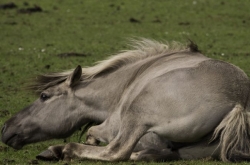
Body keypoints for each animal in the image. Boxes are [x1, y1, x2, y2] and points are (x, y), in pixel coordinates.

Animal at [1, 39, 250, 162]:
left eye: (44, 96)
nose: (5, 128)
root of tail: (238, 101)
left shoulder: (112, 125)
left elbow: (93, 132)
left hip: (136, 115)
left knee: (117, 152)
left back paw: (63, 149)